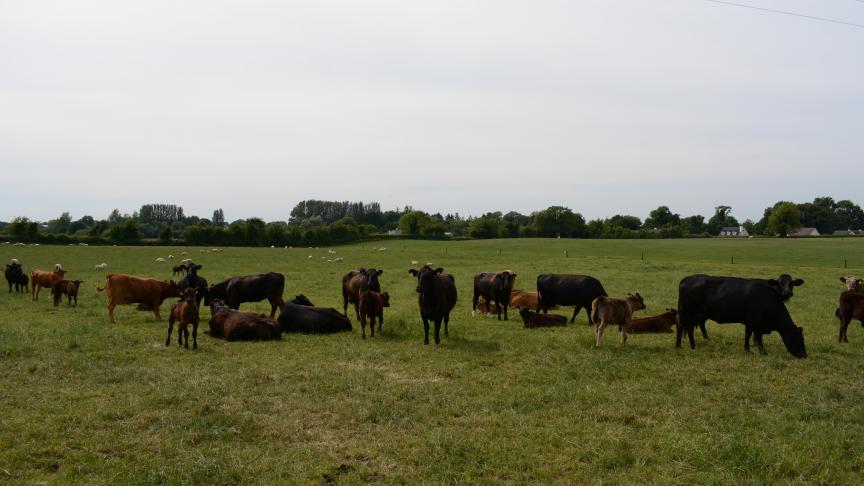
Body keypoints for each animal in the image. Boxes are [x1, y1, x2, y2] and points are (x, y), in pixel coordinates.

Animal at [676, 276, 808, 358]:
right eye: (800, 339)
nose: (804, 355)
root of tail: (687, 279)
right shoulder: (756, 323)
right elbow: (758, 338)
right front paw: (763, 352)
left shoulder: (749, 322)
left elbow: (748, 335)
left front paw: (747, 349)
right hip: (686, 313)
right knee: (681, 326)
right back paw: (678, 346)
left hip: (694, 315)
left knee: (689, 329)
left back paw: (693, 346)